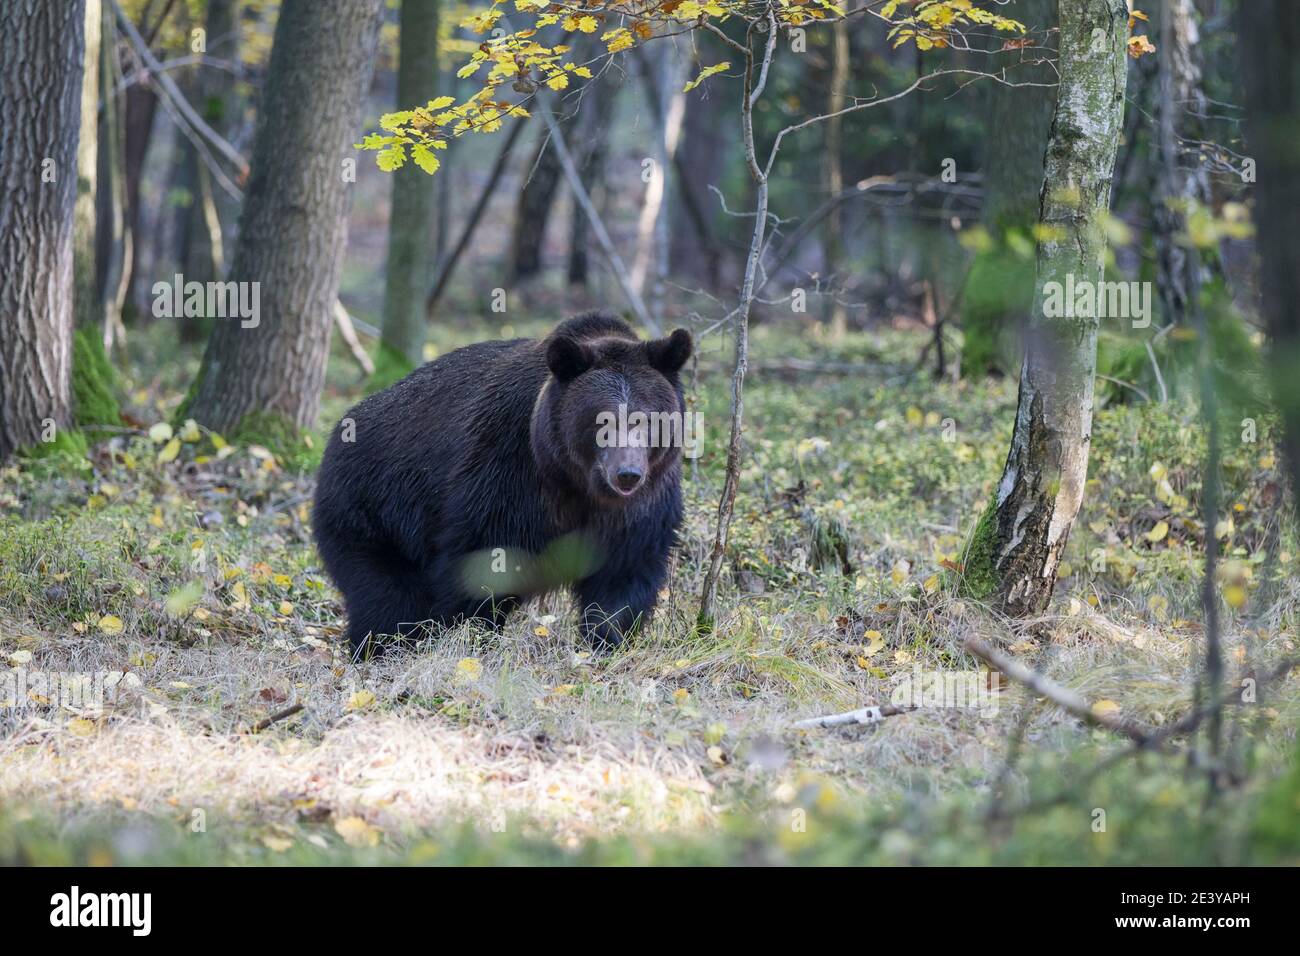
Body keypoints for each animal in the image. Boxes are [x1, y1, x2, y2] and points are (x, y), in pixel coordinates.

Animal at [313, 314, 696, 658]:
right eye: (602, 421)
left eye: (647, 419)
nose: (627, 474)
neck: (575, 483)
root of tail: (339, 430)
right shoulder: (507, 472)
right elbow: (482, 560)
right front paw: (469, 637)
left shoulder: (643, 505)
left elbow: (625, 573)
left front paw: (607, 640)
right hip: (370, 510)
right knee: (387, 597)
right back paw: (379, 648)